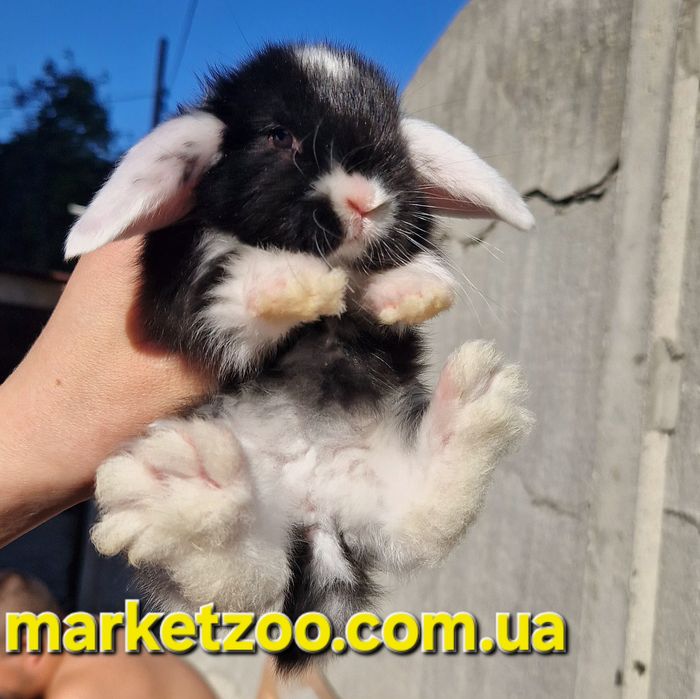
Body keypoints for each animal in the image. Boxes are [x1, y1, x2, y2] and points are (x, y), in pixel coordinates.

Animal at [65, 43, 534, 672]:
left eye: (396, 144)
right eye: (276, 135)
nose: (366, 202)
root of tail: (317, 510)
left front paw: (413, 289)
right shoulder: (180, 296)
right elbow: (225, 283)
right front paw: (298, 286)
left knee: (415, 520)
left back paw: (477, 409)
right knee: (243, 582)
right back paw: (184, 490)